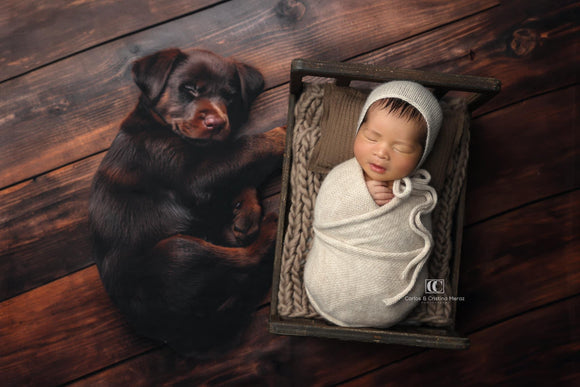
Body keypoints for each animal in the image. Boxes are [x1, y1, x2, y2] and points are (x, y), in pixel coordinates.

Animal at [88, 49, 286, 358]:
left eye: (229, 95)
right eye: (189, 89)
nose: (216, 123)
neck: (156, 123)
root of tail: (174, 332)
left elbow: (240, 166)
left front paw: (246, 212)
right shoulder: (190, 176)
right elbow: (248, 147)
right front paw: (282, 132)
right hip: (178, 252)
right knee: (243, 260)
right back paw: (269, 229)